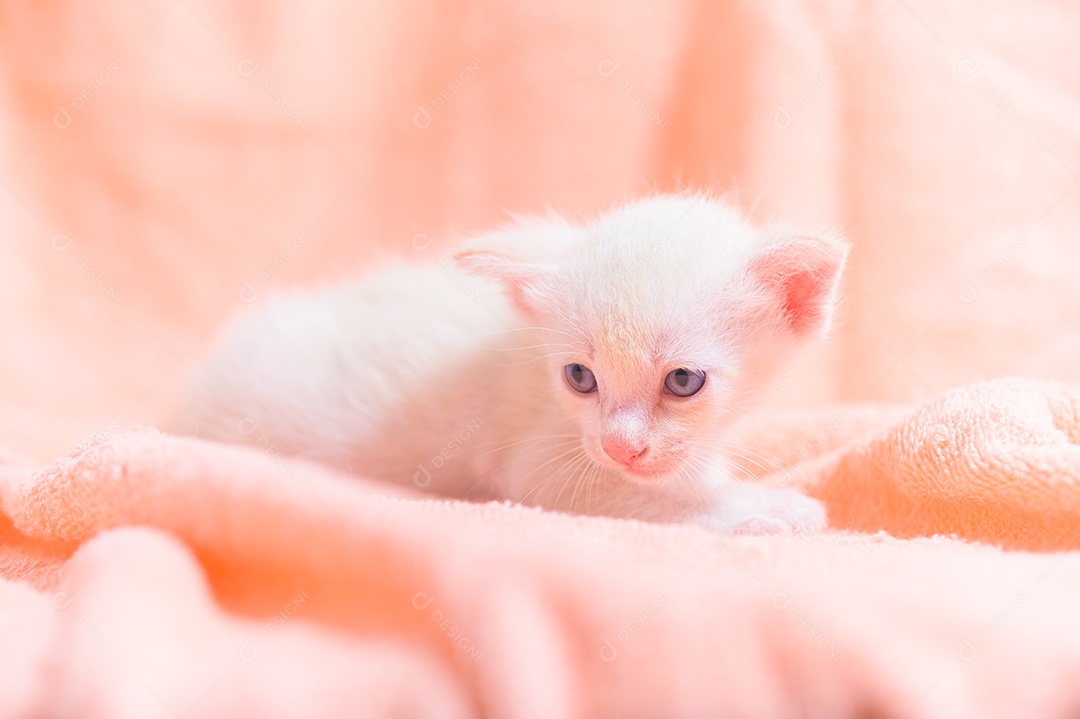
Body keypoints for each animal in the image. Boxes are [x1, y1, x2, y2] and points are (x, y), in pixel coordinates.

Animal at [181, 196, 846, 531]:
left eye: (683, 381)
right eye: (580, 378)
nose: (620, 448)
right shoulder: (544, 467)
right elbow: (657, 500)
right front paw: (770, 507)